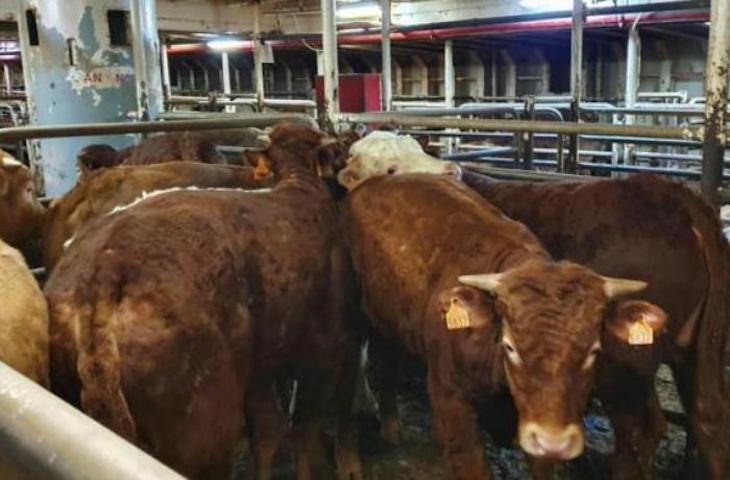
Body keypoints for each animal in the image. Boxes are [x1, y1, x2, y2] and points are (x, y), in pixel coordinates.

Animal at [335, 133, 730, 479]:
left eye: (420, 150)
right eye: (390, 167)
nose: (451, 172)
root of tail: (674, 195)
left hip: (626, 371)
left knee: (639, 433)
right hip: (697, 353)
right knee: (707, 418)